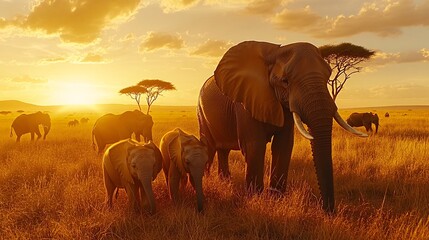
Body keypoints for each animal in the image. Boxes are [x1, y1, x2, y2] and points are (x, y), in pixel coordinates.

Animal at [196, 40, 366, 212]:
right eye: (285, 81)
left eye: (327, 78)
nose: (327, 210)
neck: (274, 52)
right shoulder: (245, 101)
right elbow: (254, 146)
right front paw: (256, 200)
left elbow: (283, 145)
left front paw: (275, 199)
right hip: (201, 111)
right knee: (209, 147)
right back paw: (209, 181)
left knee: (223, 150)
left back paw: (224, 181)